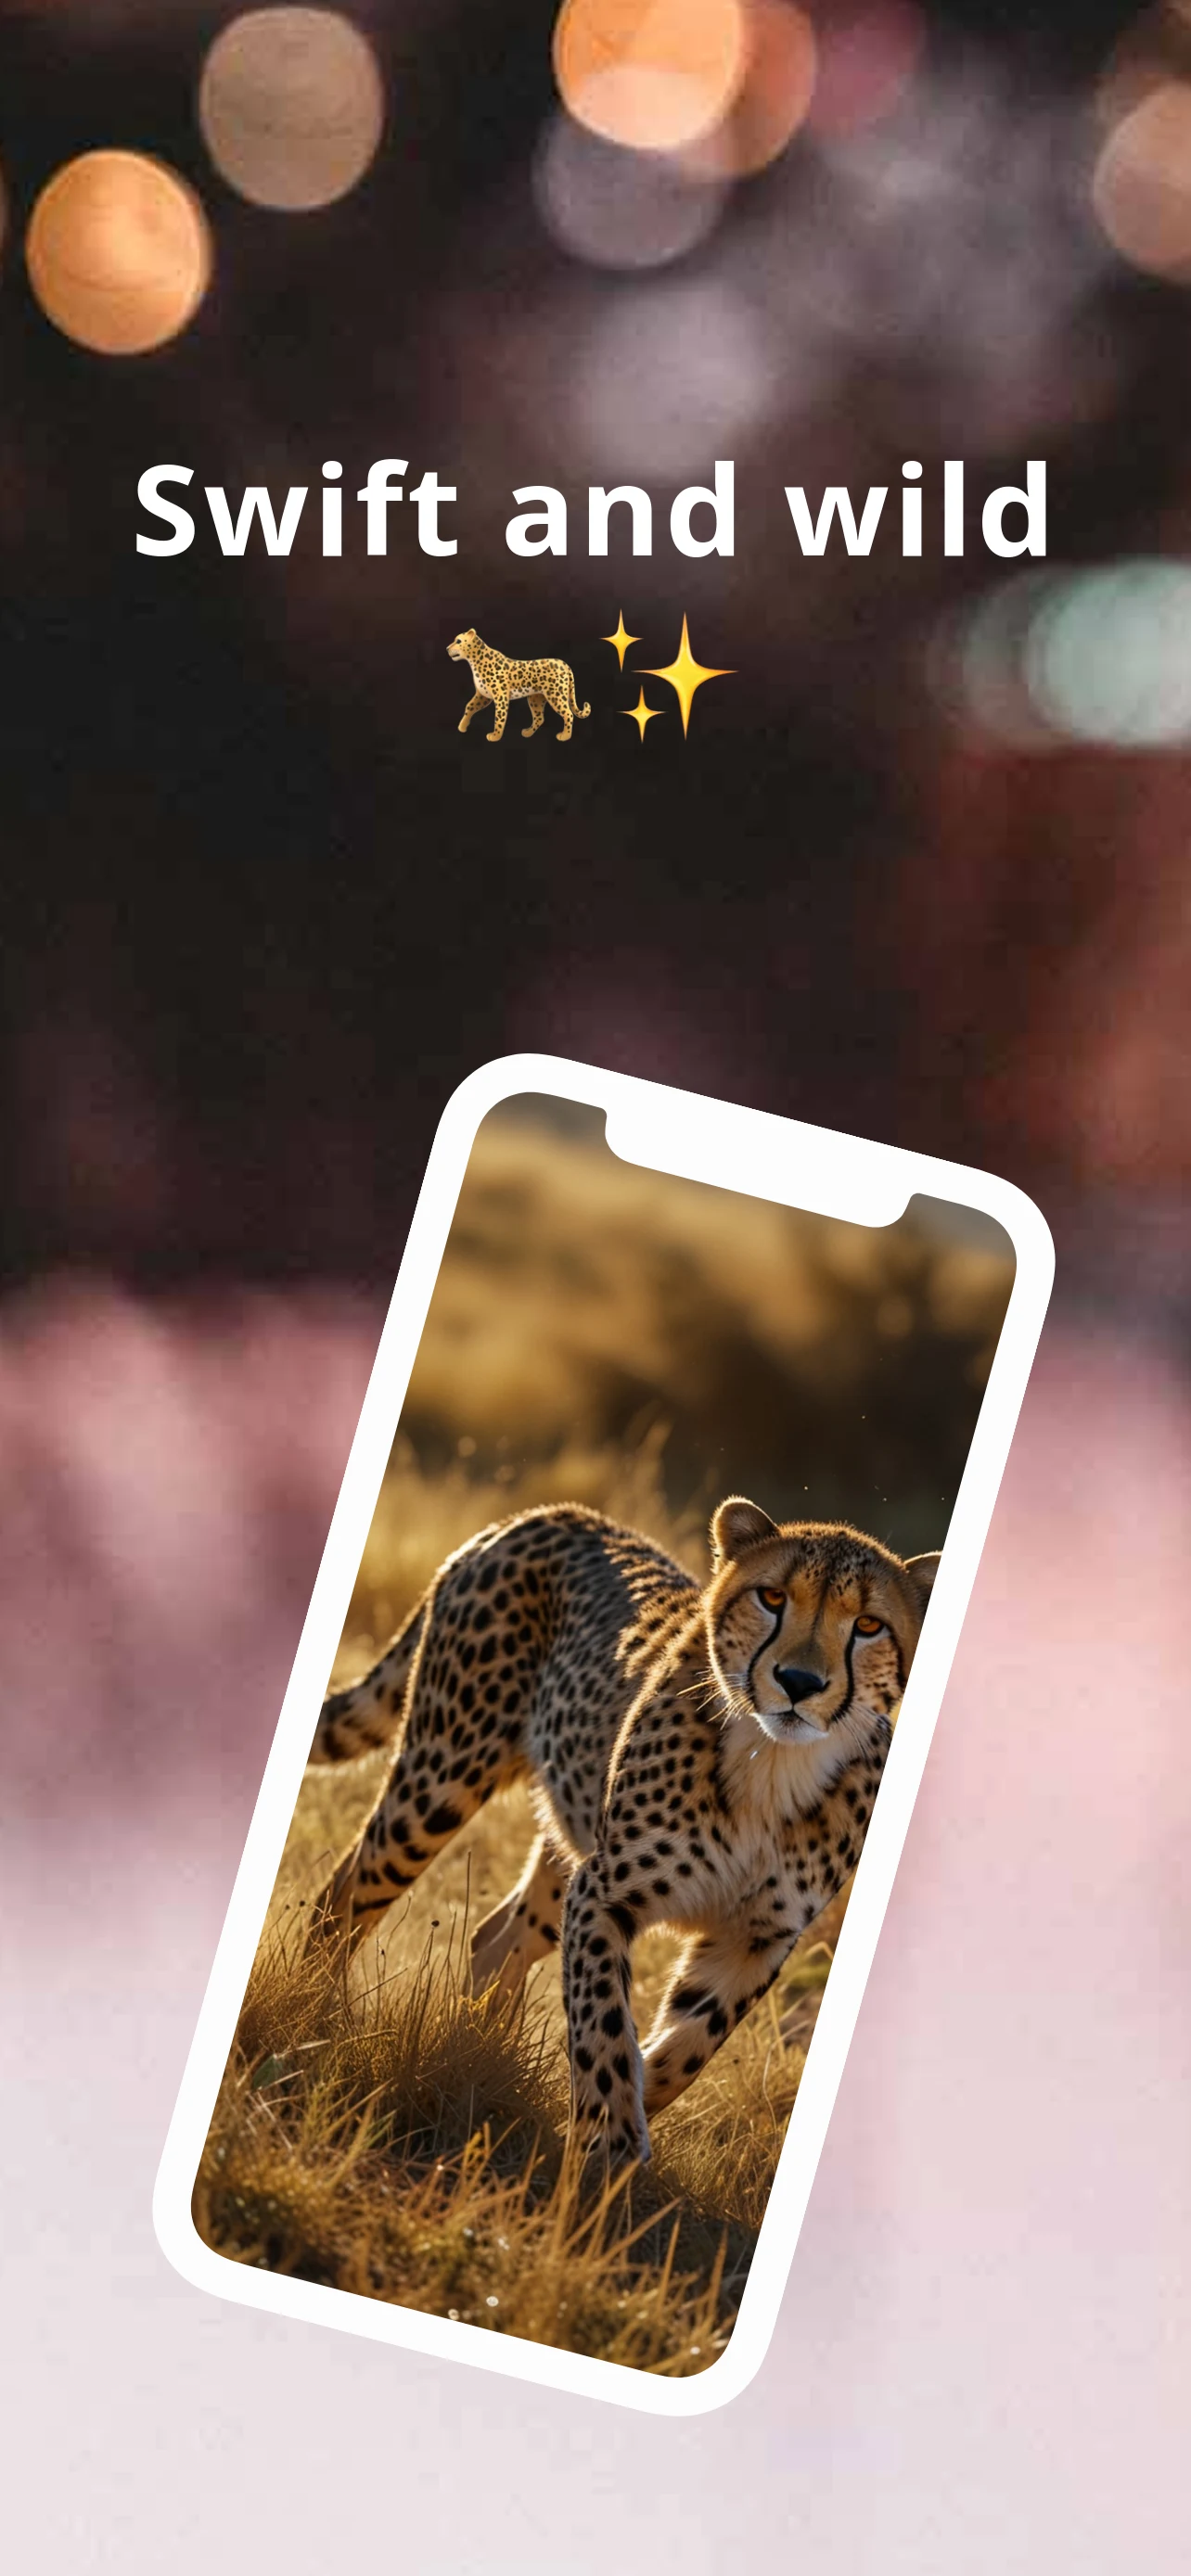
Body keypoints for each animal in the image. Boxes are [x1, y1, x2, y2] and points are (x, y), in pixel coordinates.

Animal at [309, 1497, 939, 2164]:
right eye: (772, 1597)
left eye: (868, 1625)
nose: (799, 1682)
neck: (773, 1766)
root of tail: (546, 1513)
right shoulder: (604, 1893)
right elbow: (603, 2016)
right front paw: (608, 2138)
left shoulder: (756, 1938)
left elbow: (695, 2042)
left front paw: (618, 2111)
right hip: (442, 1777)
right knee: (346, 1892)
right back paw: (315, 2016)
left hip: (566, 1835)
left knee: (493, 1937)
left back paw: (481, 2054)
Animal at [447, 628, 591, 742]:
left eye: (458, 641)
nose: (447, 648)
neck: (474, 661)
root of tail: (564, 663)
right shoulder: (483, 695)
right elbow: (469, 706)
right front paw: (462, 727)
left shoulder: (500, 697)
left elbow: (499, 717)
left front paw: (495, 736)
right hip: (535, 698)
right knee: (539, 718)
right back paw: (527, 733)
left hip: (556, 695)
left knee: (568, 713)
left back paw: (565, 736)